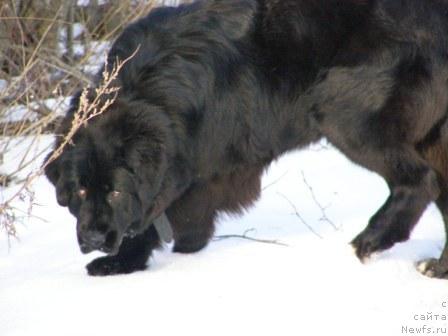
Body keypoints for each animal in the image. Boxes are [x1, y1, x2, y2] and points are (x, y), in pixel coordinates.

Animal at [45, 0, 448, 278]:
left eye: (115, 191)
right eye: (80, 190)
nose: (93, 238)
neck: (148, 93)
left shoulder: (197, 166)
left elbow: (164, 213)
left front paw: (125, 260)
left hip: (341, 110)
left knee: (421, 181)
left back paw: (373, 239)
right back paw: (437, 269)